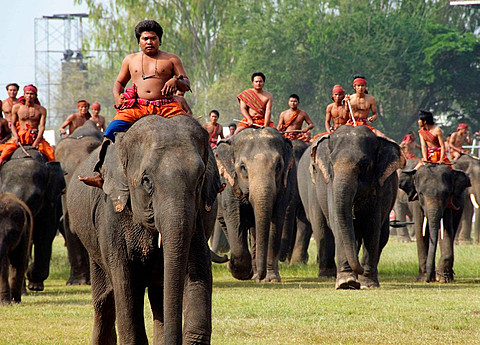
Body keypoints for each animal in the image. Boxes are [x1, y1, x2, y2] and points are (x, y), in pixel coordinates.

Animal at [66, 115, 220, 344]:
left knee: (158, 296)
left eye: (200, 178)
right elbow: (125, 283)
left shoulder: (197, 221)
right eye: (146, 180)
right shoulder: (111, 216)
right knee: (105, 302)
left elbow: (198, 274)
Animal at [215, 127, 296, 280]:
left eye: (278, 166)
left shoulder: (285, 184)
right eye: (243, 167)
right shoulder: (229, 184)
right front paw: (238, 271)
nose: (261, 277)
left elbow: (275, 221)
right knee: (226, 224)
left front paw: (271, 279)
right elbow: (234, 218)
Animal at [300, 125, 404, 288]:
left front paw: (367, 283)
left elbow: (372, 225)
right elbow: (337, 223)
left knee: (382, 235)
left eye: (365, 164)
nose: (359, 269)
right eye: (331, 164)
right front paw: (346, 282)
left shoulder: (380, 186)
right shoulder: (330, 185)